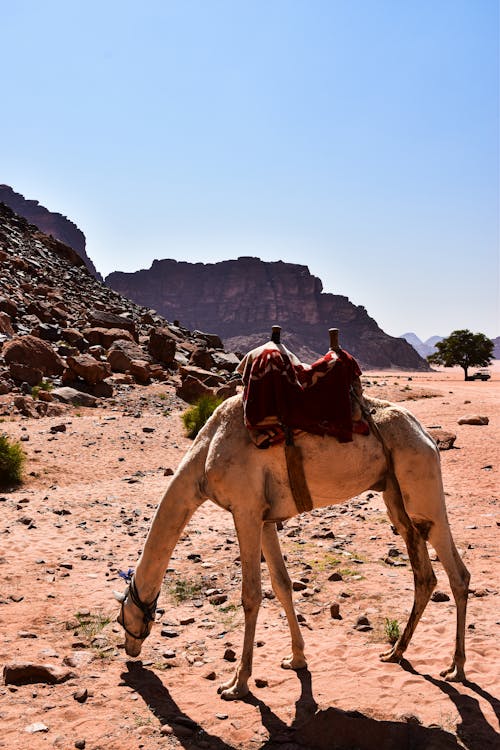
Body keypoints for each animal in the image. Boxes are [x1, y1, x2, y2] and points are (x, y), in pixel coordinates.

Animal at [113, 384, 468, 704]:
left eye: (120, 618)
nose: (130, 651)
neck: (205, 455)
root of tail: (426, 435)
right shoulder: (265, 517)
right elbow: (282, 585)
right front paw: (296, 659)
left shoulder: (245, 509)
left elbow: (251, 596)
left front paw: (237, 685)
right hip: (394, 494)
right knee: (425, 575)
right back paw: (395, 652)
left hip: (421, 485)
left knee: (457, 574)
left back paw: (456, 668)